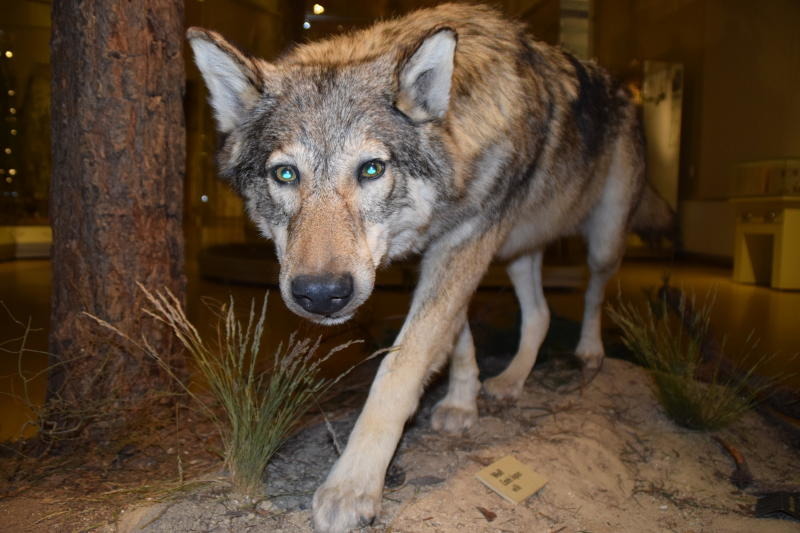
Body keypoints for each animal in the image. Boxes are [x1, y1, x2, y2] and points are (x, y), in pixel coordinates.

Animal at [189, 3, 676, 528]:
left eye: (372, 169)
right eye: (285, 174)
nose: (321, 293)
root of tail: (625, 90)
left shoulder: (465, 242)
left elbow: (400, 369)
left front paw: (351, 487)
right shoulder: (439, 253)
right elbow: (458, 338)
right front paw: (463, 402)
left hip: (601, 242)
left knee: (594, 292)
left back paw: (588, 353)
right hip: (517, 250)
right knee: (541, 314)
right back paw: (509, 382)